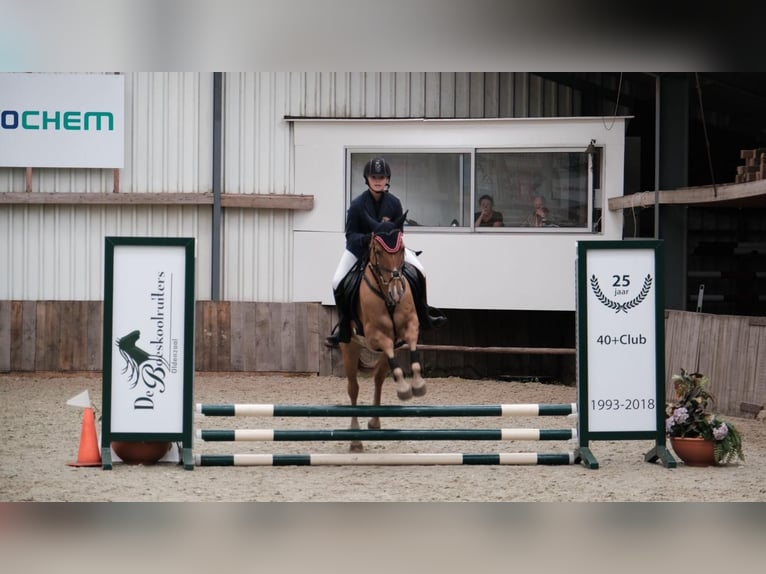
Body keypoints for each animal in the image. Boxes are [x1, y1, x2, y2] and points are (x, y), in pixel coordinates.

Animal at [340, 212, 426, 454]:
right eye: (378, 252)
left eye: (401, 248)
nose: (396, 292)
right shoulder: (374, 336)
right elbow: (385, 343)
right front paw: (407, 388)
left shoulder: (411, 325)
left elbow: (412, 345)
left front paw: (416, 386)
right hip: (350, 348)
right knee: (353, 388)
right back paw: (355, 439)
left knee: (378, 379)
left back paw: (375, 421)